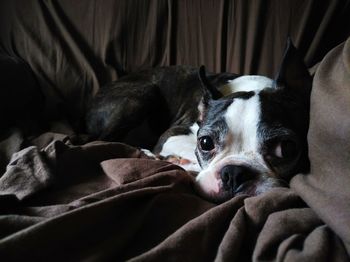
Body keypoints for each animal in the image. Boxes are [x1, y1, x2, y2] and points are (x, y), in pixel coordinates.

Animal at [85, 39, 312, 203]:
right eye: (205, 143)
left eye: (286, 148)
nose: (234, 173)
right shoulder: (172, 135)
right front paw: (181, 161)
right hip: (145, 93)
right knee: (104, 139)